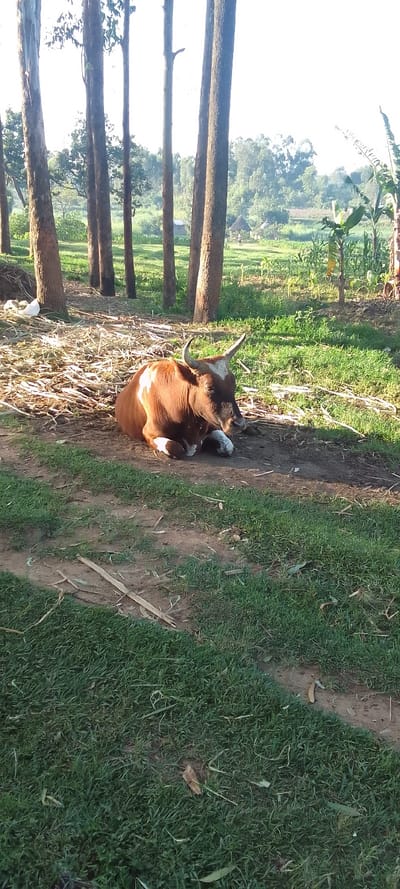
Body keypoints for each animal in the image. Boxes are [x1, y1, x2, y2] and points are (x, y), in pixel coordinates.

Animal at [115, 333, 247, 459]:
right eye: (209, 387)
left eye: (233, 383)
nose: (239, 424)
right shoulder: (150, 433)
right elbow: (175, 447)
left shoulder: (213, 424)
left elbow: (227, 447)